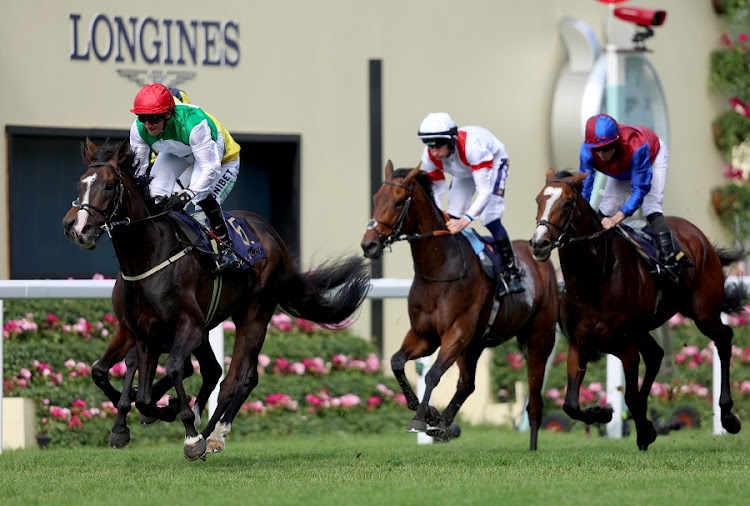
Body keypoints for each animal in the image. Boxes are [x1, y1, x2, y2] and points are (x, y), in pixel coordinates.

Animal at [62, 137, 374, 458]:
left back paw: (213, 434)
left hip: (255, 313)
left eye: (110, 185)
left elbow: (175, 368)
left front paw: (188, 431)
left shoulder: (189, 324)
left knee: (239, 378)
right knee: (217, 372)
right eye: (80, 184)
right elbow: (122, 381)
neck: (149, 257)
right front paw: (133, 420)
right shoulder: (139, 330)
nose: (79, 227)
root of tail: (274, 238)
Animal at [362, 162, 560, 450]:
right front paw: (428, 413)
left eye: (399, 201)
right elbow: (397, 361)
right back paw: (445, 424)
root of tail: (540, 258)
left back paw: (532, 444)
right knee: (467, 384)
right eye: (377, 198)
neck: (439, 271)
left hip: (538, 336)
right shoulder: (424, 334)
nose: (369, 244)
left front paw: (422, 417)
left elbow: (432, 374)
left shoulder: (456, 332)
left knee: (534, 389)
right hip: (475, 344)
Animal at [532, 170, 748, 450]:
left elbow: (631, 397)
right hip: (643, 330)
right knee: (656, 354)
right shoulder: (579, 342)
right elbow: (570, 404)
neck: (593, 279)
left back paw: (728, 416)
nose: (539, 243)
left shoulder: (626, 345)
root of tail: (697, 235)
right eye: (538, 200)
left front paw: (643, 430)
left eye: (567, 203)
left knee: (724, 339)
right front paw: (605, 414)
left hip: (704, 313)